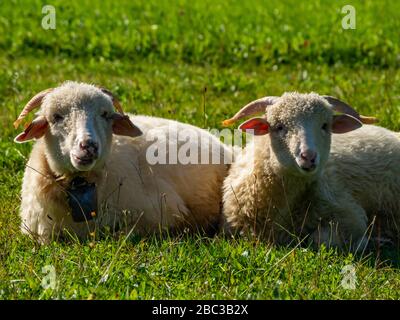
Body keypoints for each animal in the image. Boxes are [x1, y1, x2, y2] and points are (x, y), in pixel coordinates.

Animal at [14, 81, 231, 244]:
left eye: (105, 115)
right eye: (56, 117)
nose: (89, 146)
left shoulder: (162, 214)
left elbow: (122, 235)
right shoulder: (37, 230)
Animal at [222, 92, 400, 250]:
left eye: (325, 126)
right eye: (279, 126)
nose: (308, 156)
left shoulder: (349, 214)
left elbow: (320, 239)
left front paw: (366, 241)